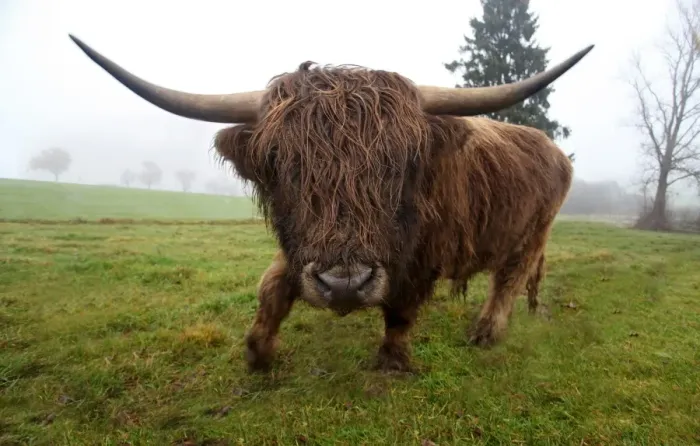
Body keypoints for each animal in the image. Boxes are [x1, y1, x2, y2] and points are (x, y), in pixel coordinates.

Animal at [69, 35, 591, 373]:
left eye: (405, 161)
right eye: (279, 162)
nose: (345, 285)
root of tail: (554, 151)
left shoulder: (419, 258)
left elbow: (400, 309)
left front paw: (393, 360)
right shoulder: (299, 247)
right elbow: (273, 288)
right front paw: (257, 352)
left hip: (534, 231)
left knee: (509, 278)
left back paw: (486, 333)